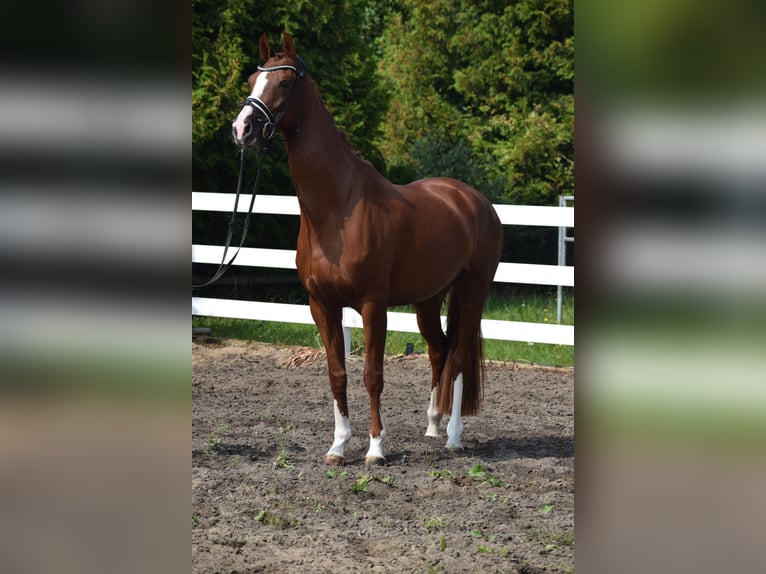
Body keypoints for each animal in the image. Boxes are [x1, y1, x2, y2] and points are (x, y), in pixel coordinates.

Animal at [231, 32, 504, 468]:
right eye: (253, 78)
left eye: (285, 83)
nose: (242, 128)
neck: (338, 209)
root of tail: (473, 200)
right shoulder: (322, 305)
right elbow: (337, 374)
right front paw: (338, 446)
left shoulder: (373, 305)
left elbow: (372, 375)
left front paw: (375, 448)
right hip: (428, 299)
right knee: (439, 351)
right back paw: (433, 425)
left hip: (473, 290)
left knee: (459, 356)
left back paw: (453, 437)